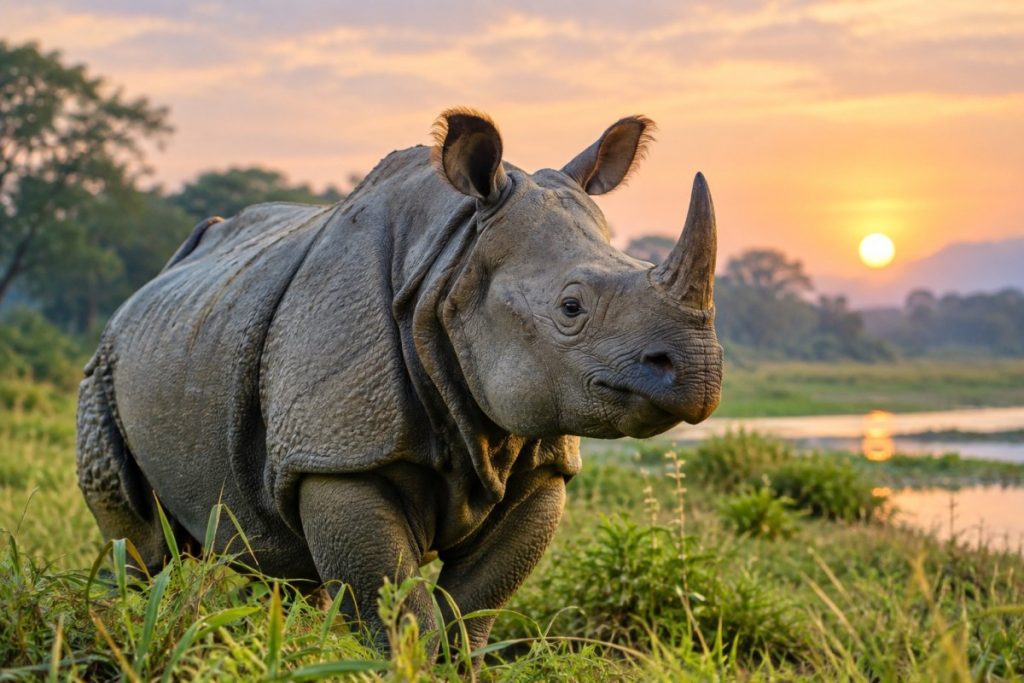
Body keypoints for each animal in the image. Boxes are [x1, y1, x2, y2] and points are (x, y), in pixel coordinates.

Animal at [76, 108, 722, 650]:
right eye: (571, 307)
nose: (701, 372)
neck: (453, 261)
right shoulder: (338, 455)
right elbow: (404, 614)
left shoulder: (540, 458)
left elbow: (471, 610)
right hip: (105, 365)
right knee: (141, 543)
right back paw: (127, 621)